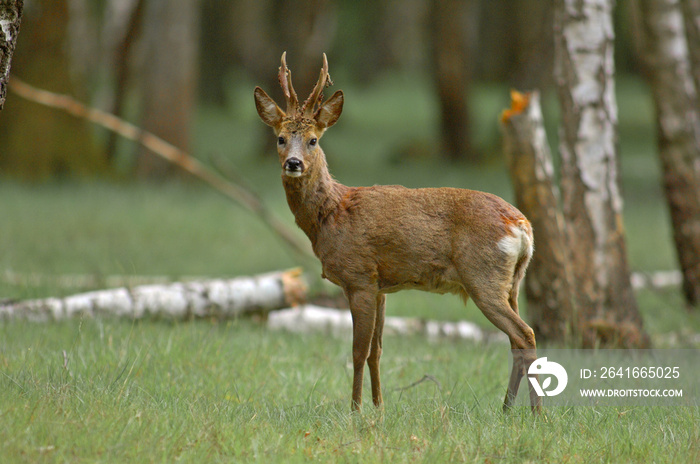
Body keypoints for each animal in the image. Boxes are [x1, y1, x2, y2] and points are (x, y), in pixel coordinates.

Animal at [253, 52, 540, 412]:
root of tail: (522, 226)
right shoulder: (381, 287)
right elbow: (376, 351)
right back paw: (507, 409)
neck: (331, 215)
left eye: (313, 140)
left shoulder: (359, 277)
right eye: (280, 137)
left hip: (482, 276)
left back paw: (534, 412)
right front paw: (379, 407)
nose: (293, 163)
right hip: (512, 282)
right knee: (517, 340)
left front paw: (355, 410)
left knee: (524, 334)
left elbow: (357, 351)